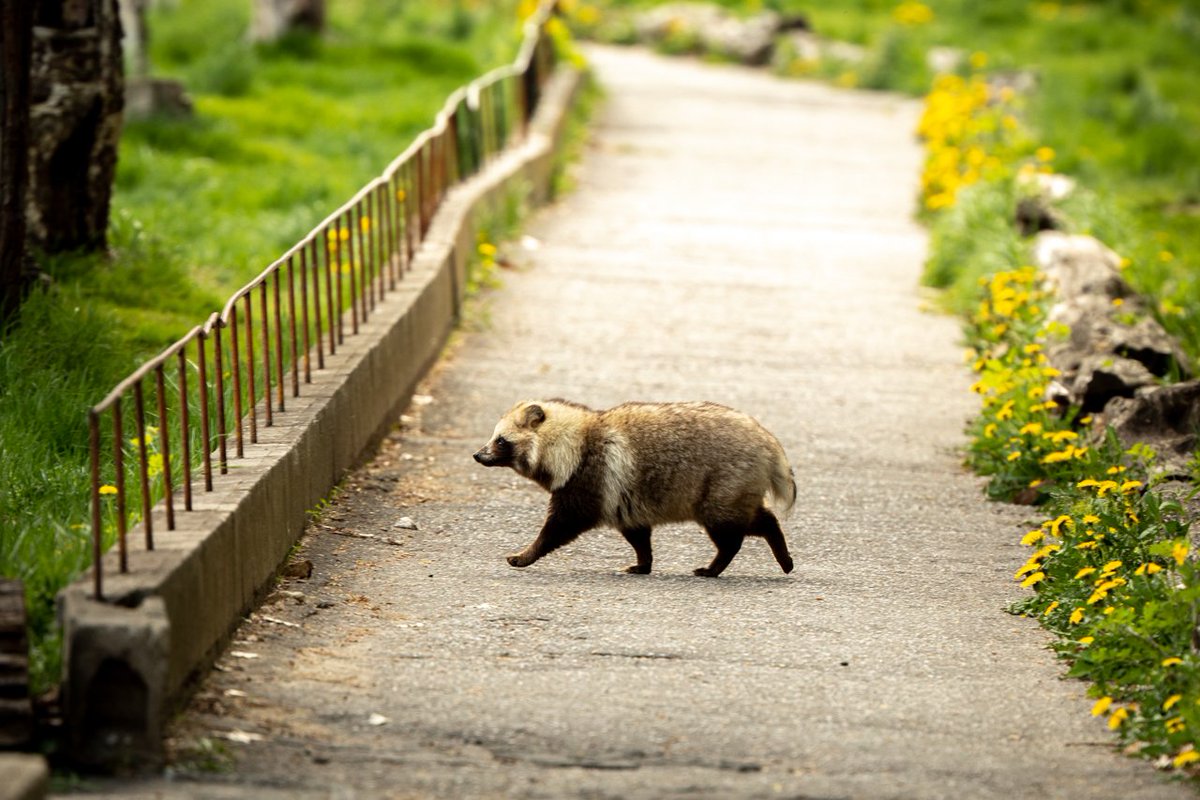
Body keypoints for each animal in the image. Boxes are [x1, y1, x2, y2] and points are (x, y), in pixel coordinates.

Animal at [470, 398, 796, 575]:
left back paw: (725, 561)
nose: (477, 455)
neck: (575, 439)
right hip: (738, 485)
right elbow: (637, 533)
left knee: (733, 531)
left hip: (724, 483)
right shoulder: (622, 498)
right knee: (753, 518)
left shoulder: (588, 481)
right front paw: (644, 561)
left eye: (501, 440)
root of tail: (768, 442)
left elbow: (558, 527)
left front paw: (527, 553)